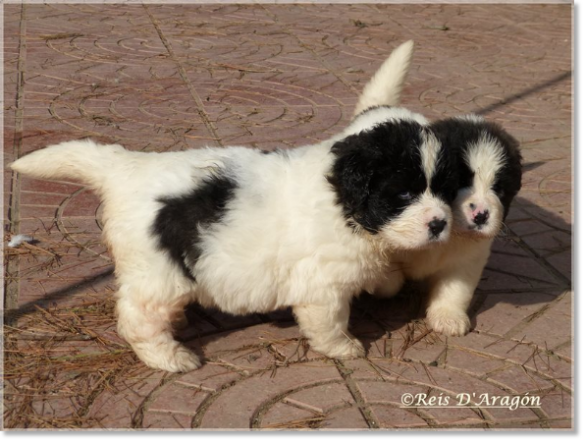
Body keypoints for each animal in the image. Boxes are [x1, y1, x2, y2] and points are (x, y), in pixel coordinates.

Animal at [10, 43, 456, 372]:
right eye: (403, 194)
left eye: (443, 189)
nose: (440, 225)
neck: (342, 197)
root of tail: (124, 168)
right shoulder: (322, 286)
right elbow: (329, 320)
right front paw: (344, 348)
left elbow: (385, 273)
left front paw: (387, 283)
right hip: (158, 272)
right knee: (137, 318)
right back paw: (170, 357)